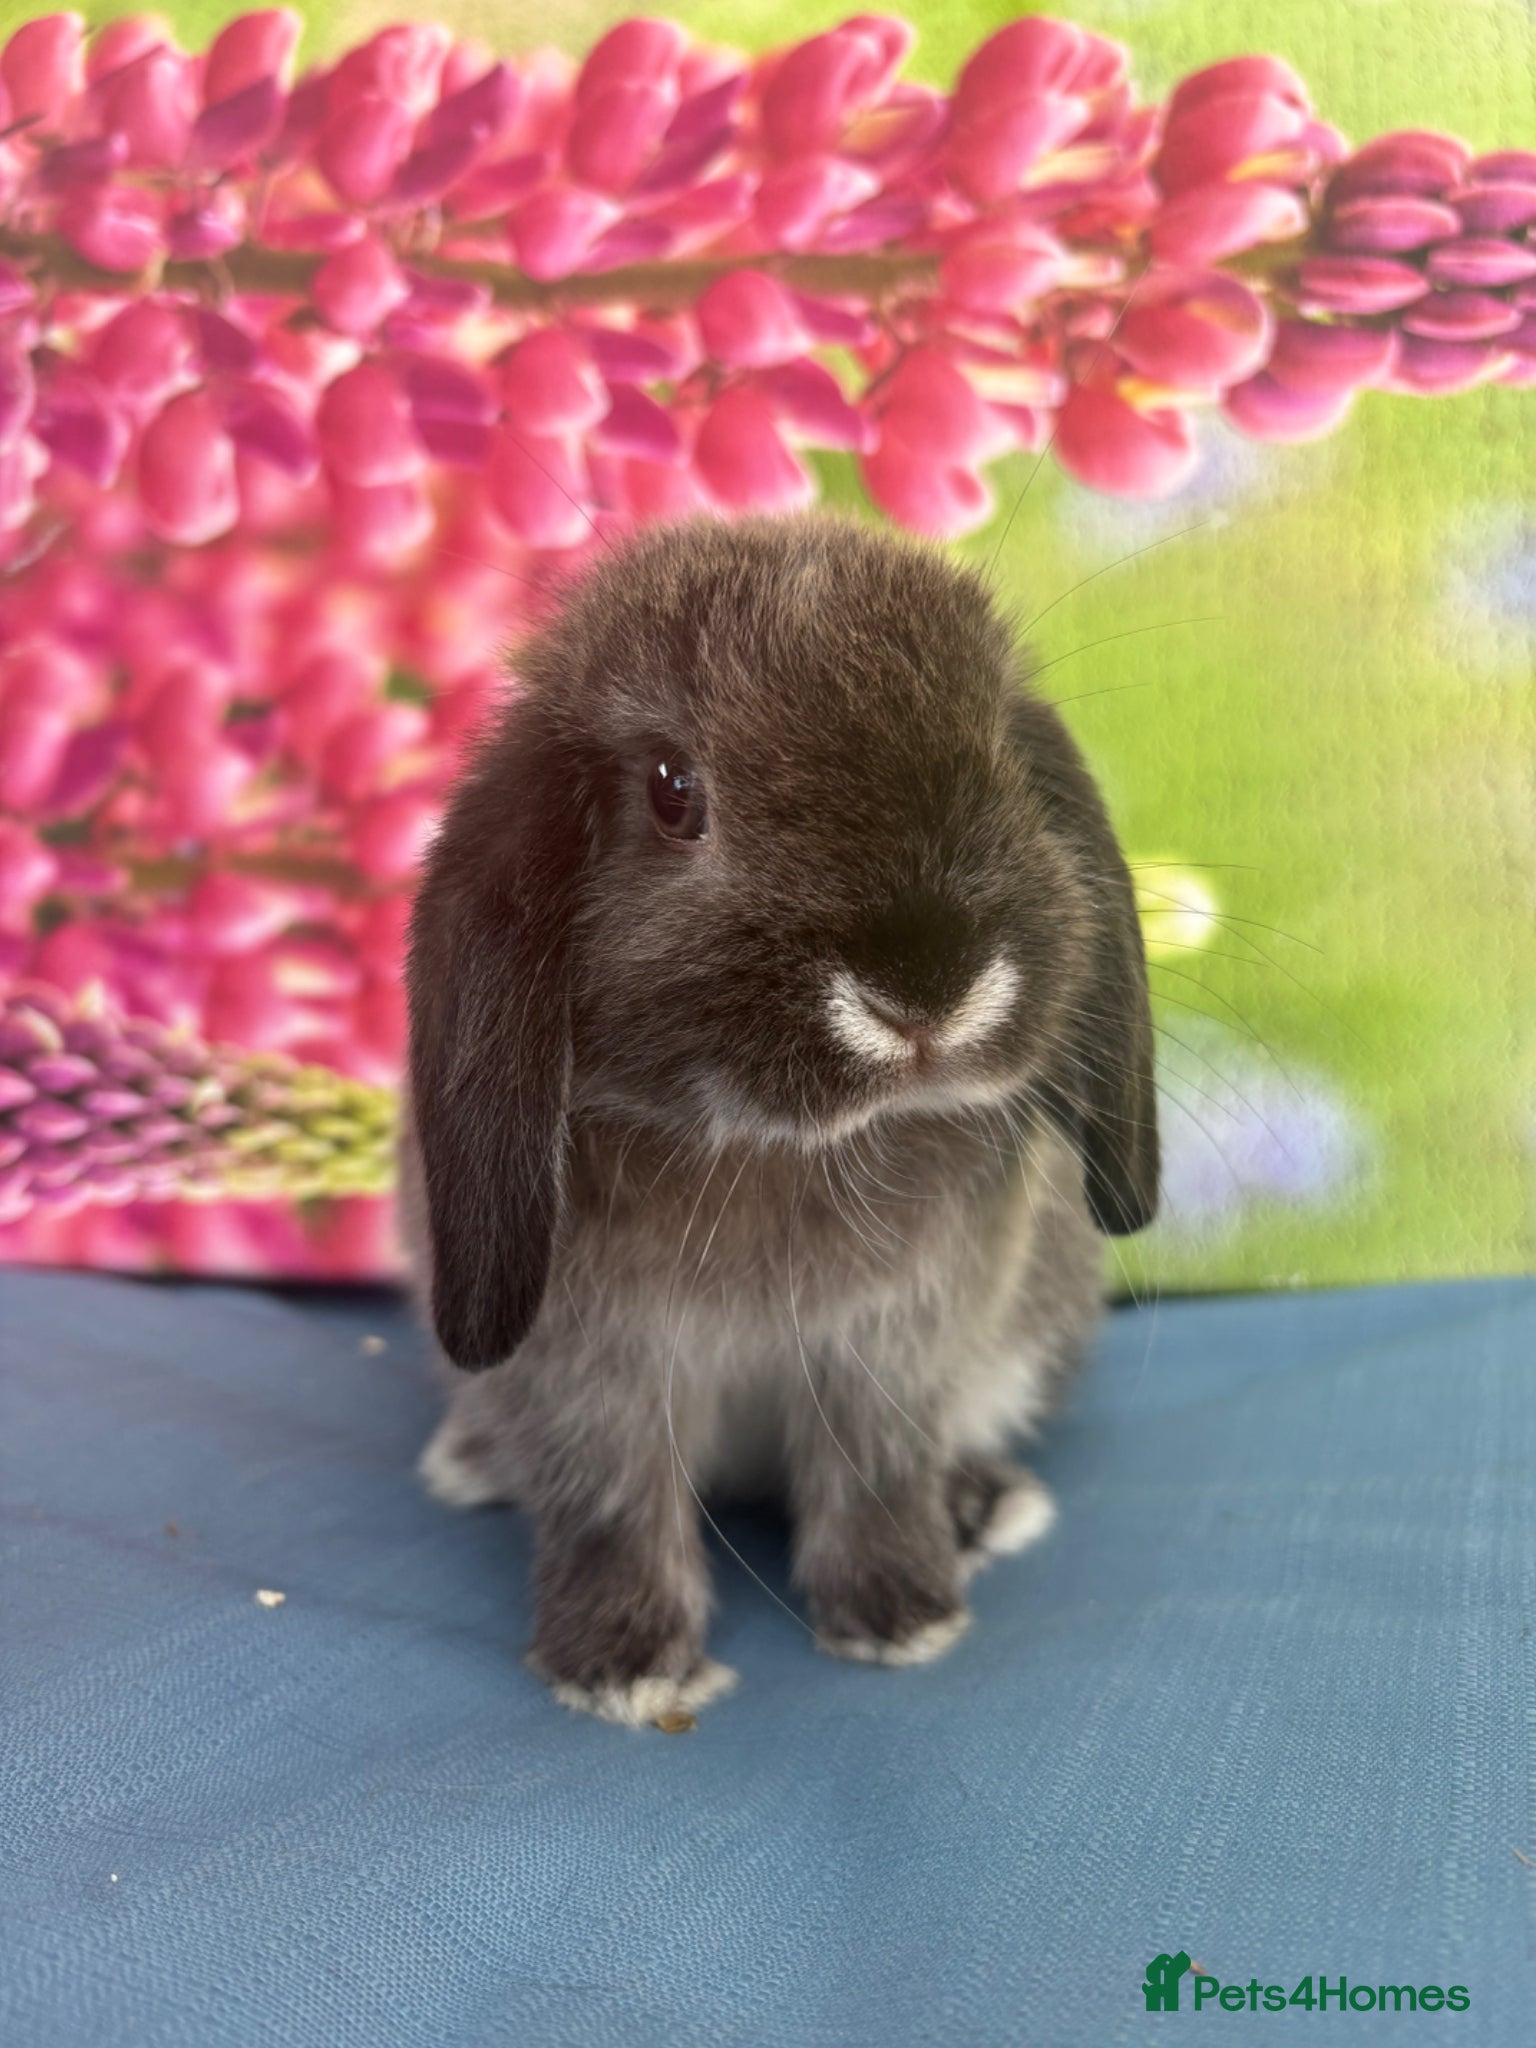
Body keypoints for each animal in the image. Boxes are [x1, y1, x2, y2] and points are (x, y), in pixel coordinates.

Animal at [401, 512, 1157, 1726]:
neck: (775, 1150)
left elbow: (878, 1473)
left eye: (1002, 750)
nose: (926, 982)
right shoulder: (589, 1371)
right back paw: (471, 1460)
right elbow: (611, 1506)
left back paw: (983, 1507)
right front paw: (621, 1666)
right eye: (672, 789)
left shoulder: (891, 1347)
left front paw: (904, 1617)